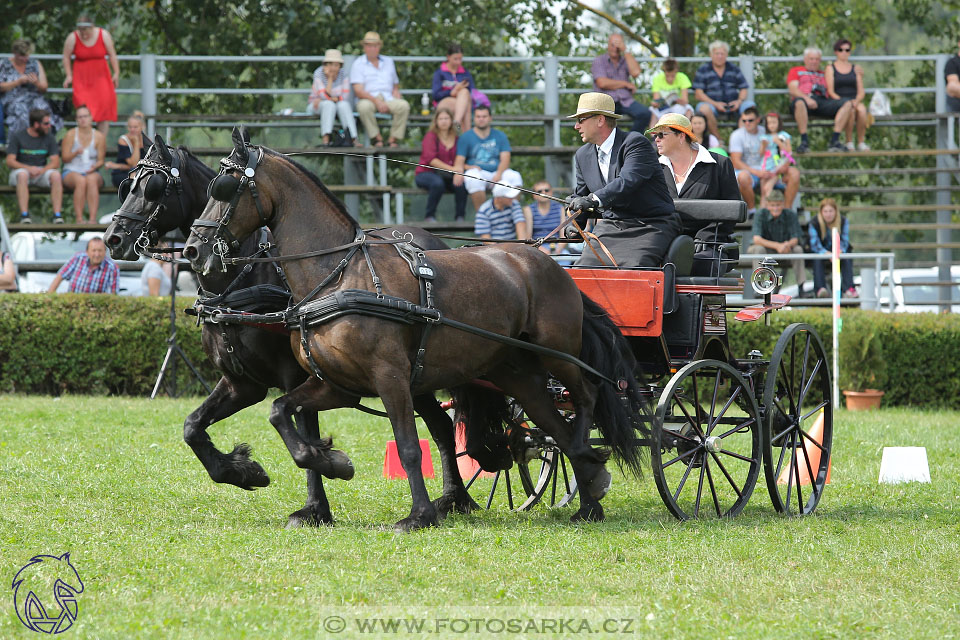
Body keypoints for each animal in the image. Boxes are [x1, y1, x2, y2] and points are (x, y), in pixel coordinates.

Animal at [103, 138, 470, 528]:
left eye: (153, 188)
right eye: (127, 186)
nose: (113, 239)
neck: (244, 279)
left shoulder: (298, 376)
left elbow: (304, 435)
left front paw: (317, 501)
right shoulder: (242, 383)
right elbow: (192, 427)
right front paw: (243, 471)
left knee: (443, 425)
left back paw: (454, 499)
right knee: (442, 426)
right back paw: (455, 499)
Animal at [182, 130, 644, 528]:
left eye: (224, 187)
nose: (193, 250)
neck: (338, 275)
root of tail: (551, 264)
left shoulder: (389, 377)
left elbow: (406, 447)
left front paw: (418, 515)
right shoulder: (334, 384)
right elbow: (277, 413)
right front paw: (327, 463)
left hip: (558, 355)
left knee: (586, 398)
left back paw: (588, 464)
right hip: (517, 375)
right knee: (553, 429)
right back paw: (587, 500)